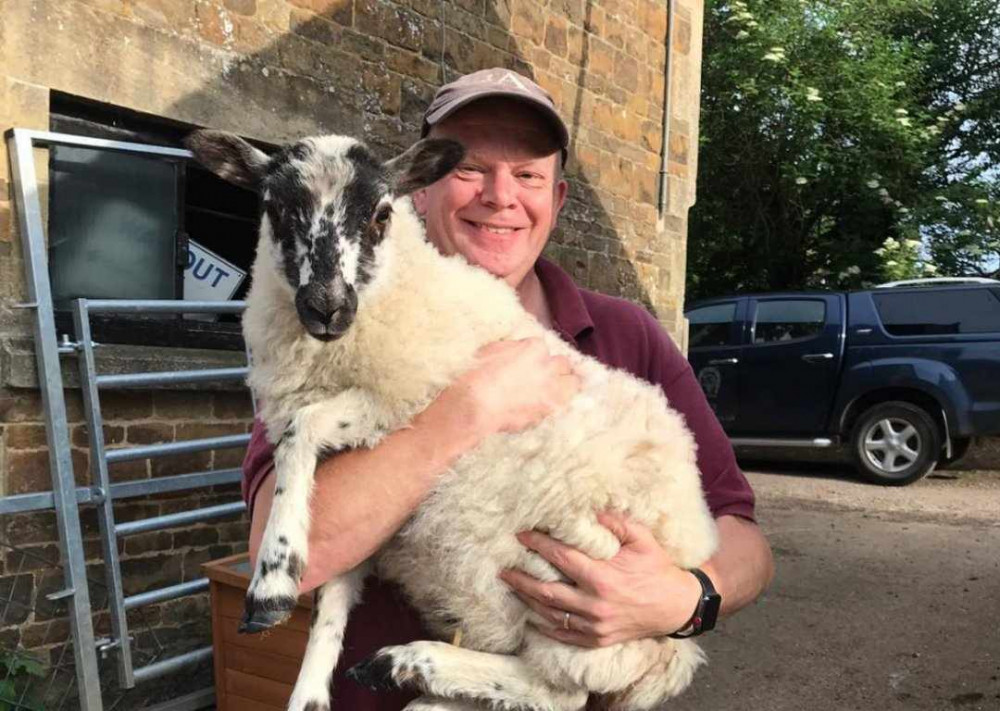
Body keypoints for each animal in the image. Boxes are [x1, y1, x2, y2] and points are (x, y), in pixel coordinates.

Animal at [188, 129, 720, 711]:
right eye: (275, 209)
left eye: (380, 214)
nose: (326, 307)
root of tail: (672, 657)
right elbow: (331, 595)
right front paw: (307, 691)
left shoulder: (409, 395)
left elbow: (299, 430)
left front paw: (271, 584)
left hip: (576, 590)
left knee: (559, 691)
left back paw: (409, 667)